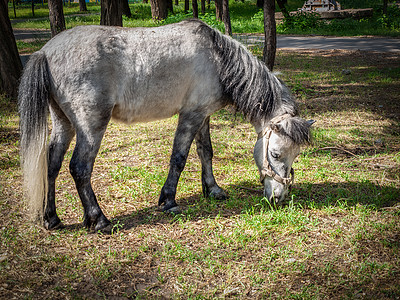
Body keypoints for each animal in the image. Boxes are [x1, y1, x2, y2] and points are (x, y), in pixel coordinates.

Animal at [18, 19, 314, 232]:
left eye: (296, 155)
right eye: (275, 154)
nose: (279, 197)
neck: (217, 58)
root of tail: (45, 52)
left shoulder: (202, 115)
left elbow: (206, 152)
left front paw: (212, 189)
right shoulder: (190, 116)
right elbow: (179, 158)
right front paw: (169, 200)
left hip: (63, 123)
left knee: (52, 165)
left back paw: (52, 219)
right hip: (91, 127)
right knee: (79, 168)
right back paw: (99, 219)